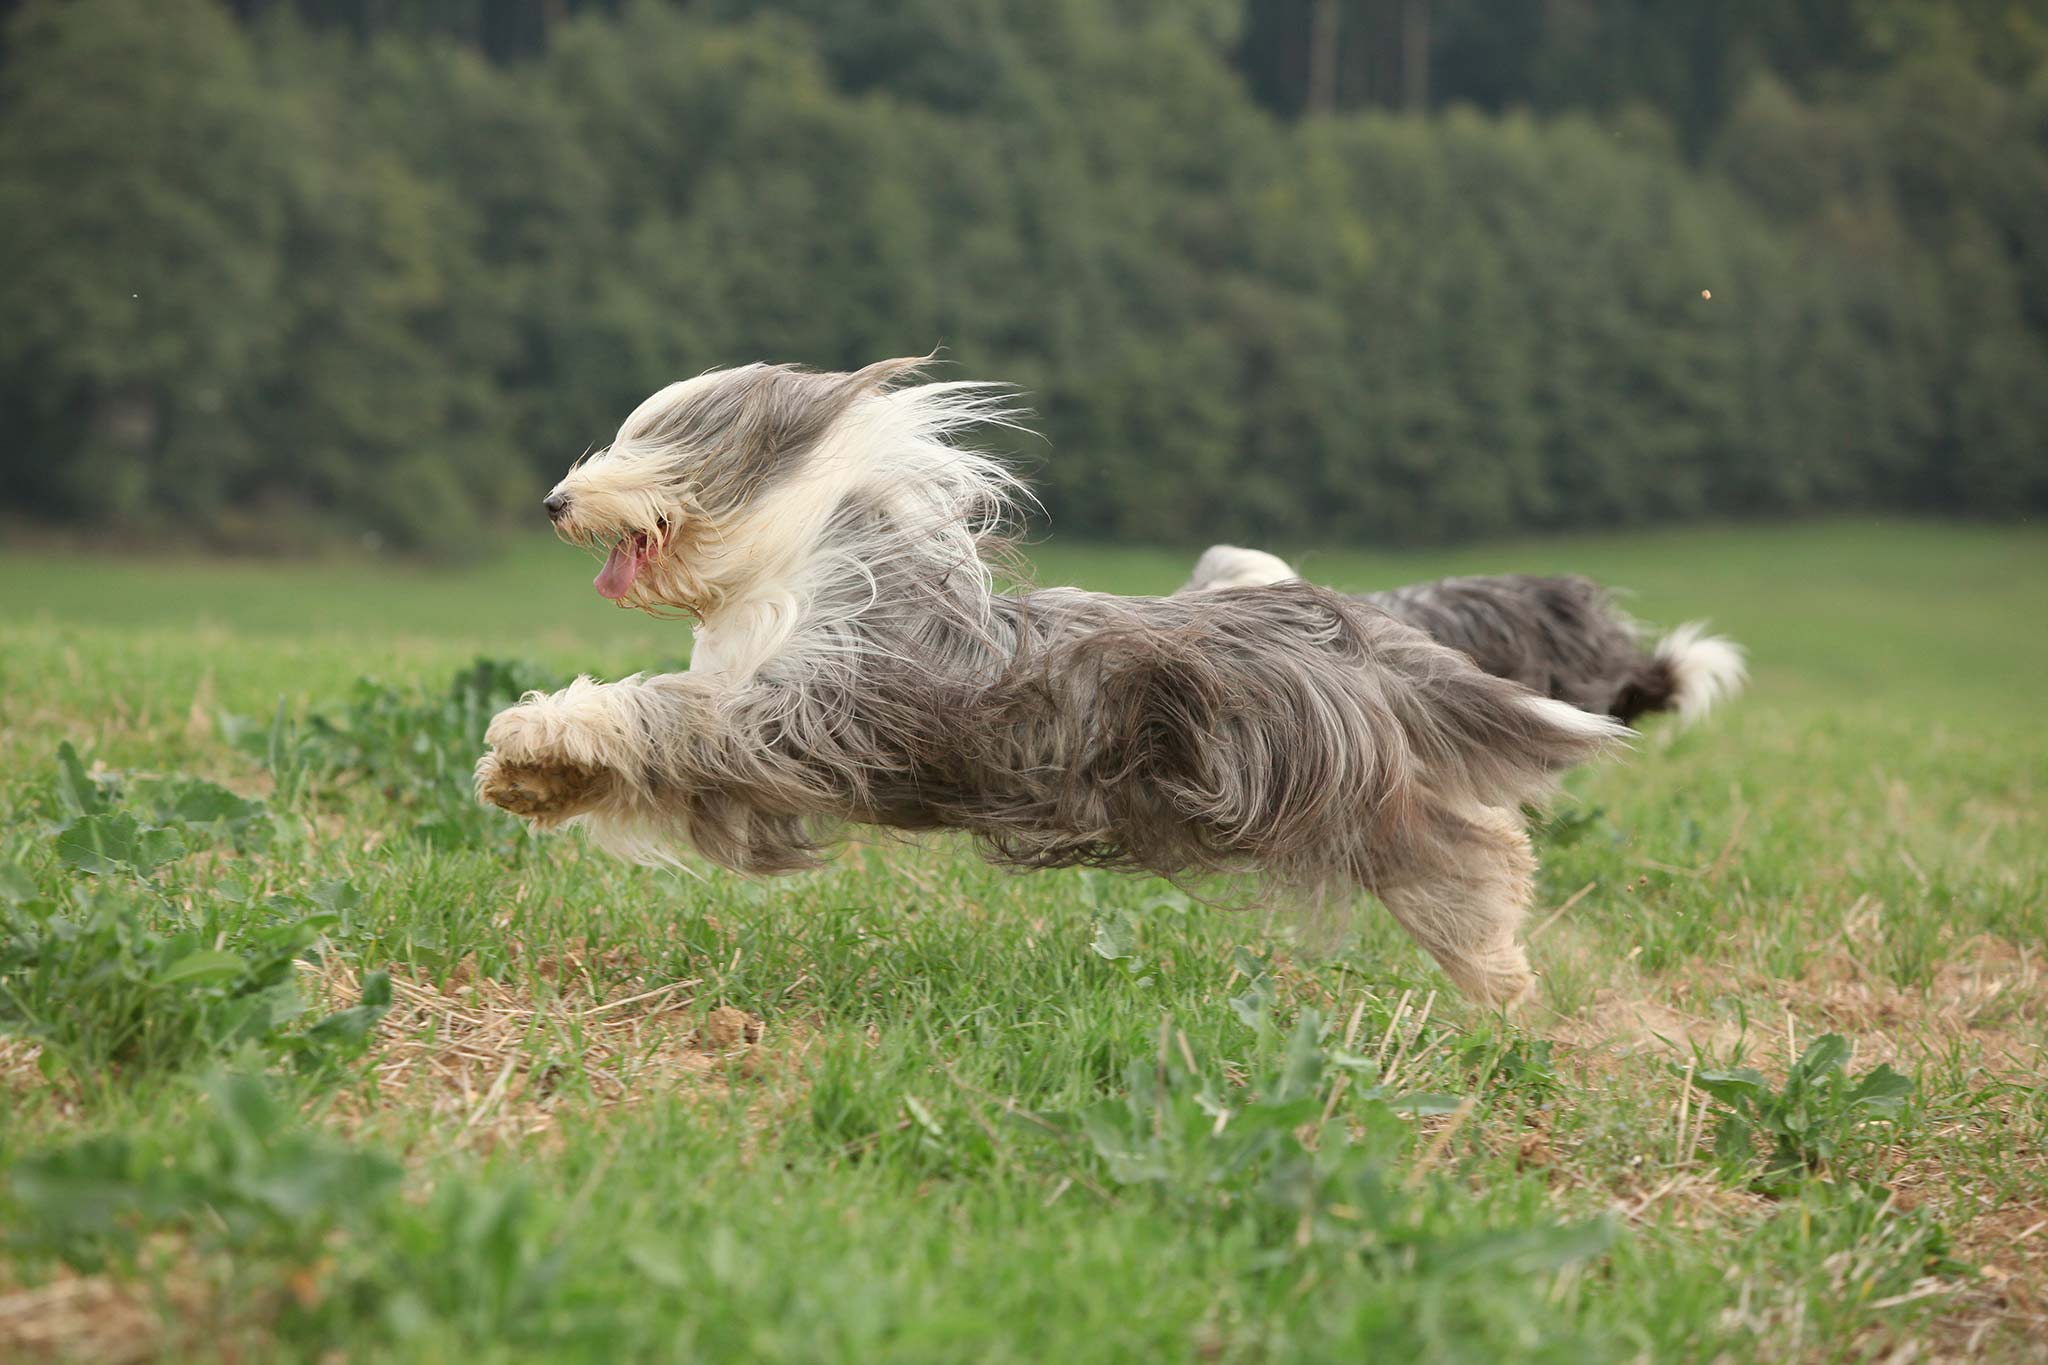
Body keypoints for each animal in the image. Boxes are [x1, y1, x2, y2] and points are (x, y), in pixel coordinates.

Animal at [479, 360, 1630, 1002]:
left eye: (651, 443)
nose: (553, 500)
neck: (791, 569)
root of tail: (1333, 620)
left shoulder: (800, 718)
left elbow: (665, 711)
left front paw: (528, 740)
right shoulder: (756, 785)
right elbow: (651, 759)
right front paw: (536, 773)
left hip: (1304, 785)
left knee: (1460, 843)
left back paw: (1494, 962)